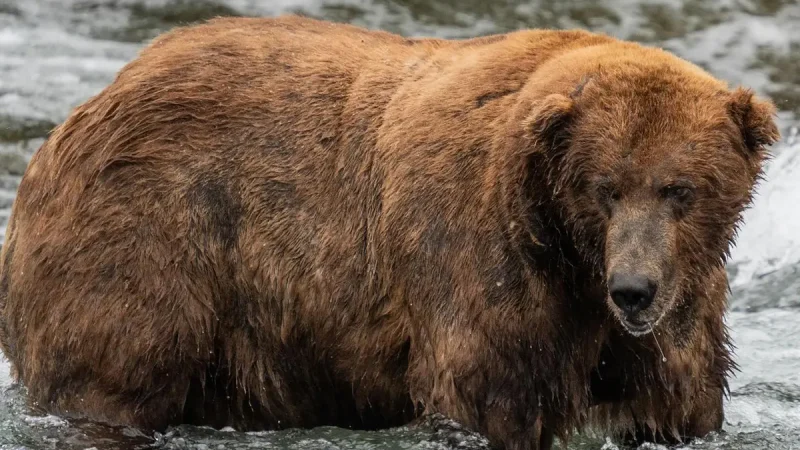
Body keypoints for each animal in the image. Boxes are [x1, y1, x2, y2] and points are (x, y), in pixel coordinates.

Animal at [0, 15, 779, 450]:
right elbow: (483, 392)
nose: (634, 289)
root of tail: (73, 120)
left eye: (681, 190)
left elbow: (678, 400)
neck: (567, 256)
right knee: (113, 366)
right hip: (151, 237)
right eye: (605, 187)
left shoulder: (676, 310)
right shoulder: (480, 260)